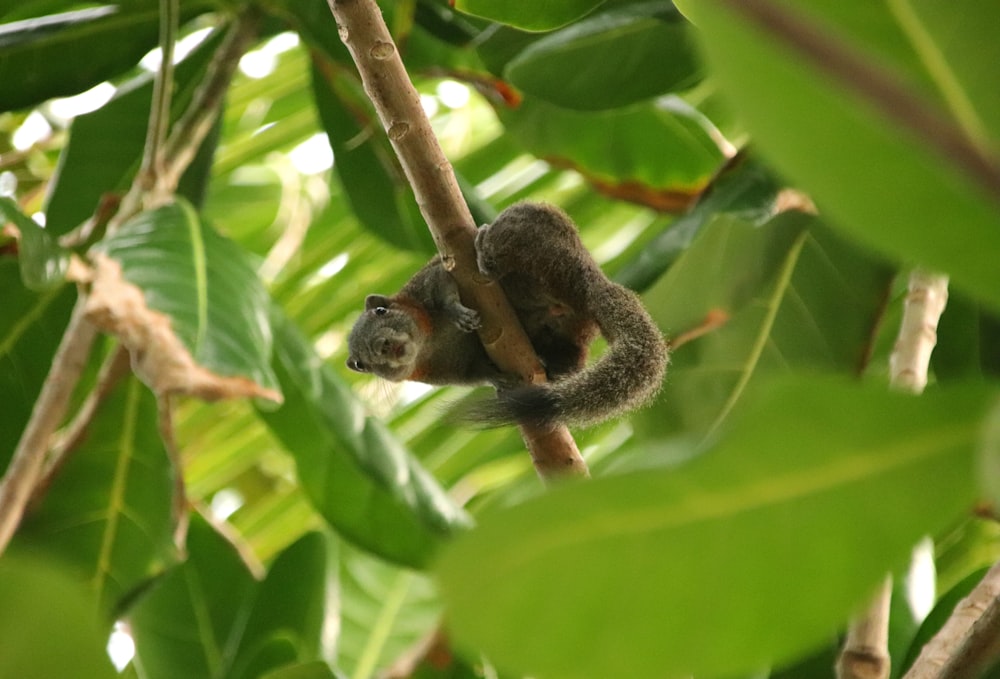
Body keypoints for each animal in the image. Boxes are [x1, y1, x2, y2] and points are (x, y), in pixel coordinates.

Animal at [348, 199, 668, 428]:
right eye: (361, 364)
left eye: (381, 311)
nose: (383, 345)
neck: (429, 344)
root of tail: (590, 285)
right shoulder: (449, 370)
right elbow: (478, 372)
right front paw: (497, 381)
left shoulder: (424, 286)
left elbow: (443, 284)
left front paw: (457, 312)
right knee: (569, 358)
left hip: (535, 245)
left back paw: (483, 251)